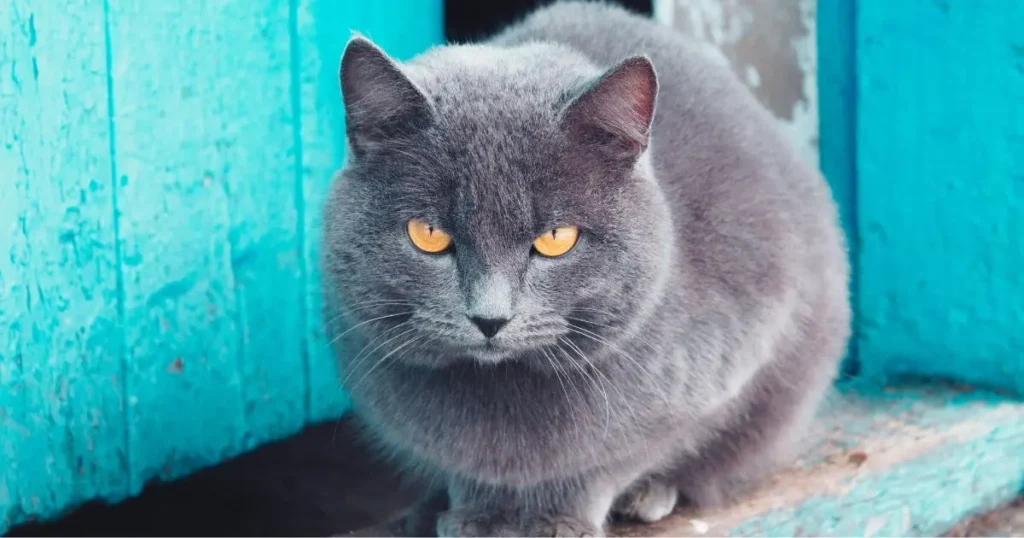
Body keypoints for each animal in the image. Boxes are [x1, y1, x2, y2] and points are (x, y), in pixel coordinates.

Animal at [323, 2, 851, 532]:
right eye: (428, 234)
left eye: (557, 239)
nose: (490, 318)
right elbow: (464, 466)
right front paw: (477, 514)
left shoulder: (728, 357)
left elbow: (610, 459)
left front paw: (560, 519)